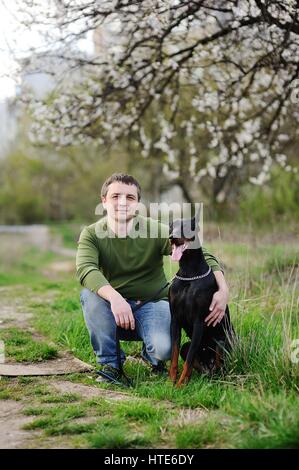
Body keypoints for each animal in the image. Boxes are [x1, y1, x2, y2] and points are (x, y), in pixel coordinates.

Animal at [169, 213, 234, 386]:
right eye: (171, 227)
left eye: (185, 227)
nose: (172, 237)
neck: (188, 273)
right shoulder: (175, 319)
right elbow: (174, 354)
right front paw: (171, 381)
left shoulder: (199, 321)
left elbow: (189, 359)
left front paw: (180, 385)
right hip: (190, 346)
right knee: (200, 363)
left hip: (221, 343)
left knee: (221, 366)